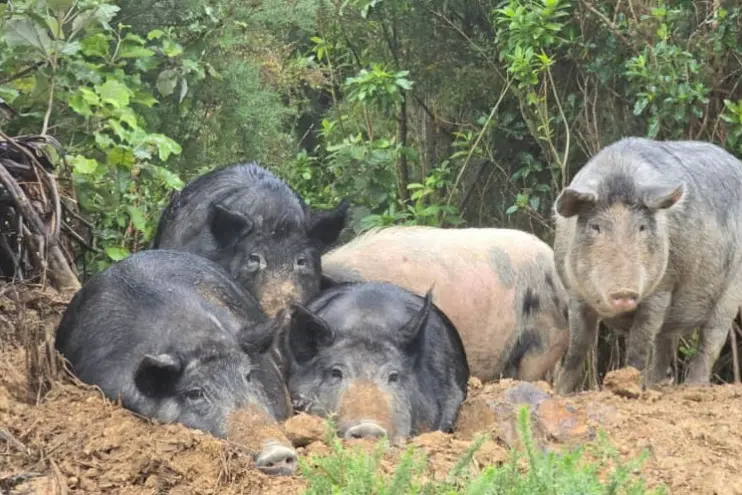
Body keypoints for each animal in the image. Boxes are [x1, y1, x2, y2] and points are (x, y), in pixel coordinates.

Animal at [552, 137, 742, 394]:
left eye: (641, 227)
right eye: (595, 226)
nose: (624, 292)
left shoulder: (661, 290)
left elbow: (639, 346)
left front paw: (627, 386)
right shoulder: (574, 293)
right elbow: (578, 347)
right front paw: (558, 392)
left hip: (732, 288)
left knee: (711, 337)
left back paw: (693, 387)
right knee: (665, 342)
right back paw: (657, 386)